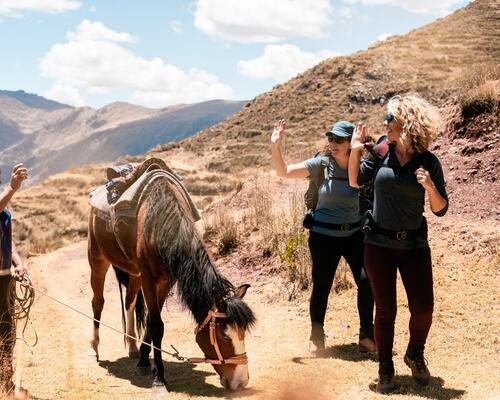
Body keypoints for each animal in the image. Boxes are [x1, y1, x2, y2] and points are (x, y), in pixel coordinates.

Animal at [86, 177, 256, 392]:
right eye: (225, 337)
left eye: (243, 333)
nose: (241, 382)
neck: (161, 223)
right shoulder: (149, 278)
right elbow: (156, 325)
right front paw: (159, 379)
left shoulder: (167, 279)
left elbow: (151, 319)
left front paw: (143, 360)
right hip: (97, 259)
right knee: (97, 303)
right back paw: (93, 349)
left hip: (134, 273)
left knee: (130, 300)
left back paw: (132, 347)